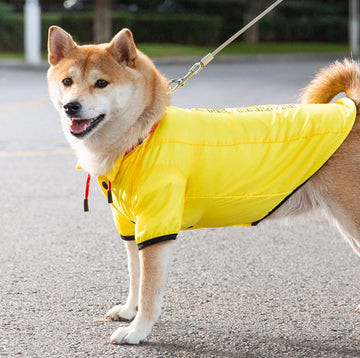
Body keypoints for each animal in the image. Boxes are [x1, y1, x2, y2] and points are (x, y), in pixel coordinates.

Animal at [49, 25, 360, 344]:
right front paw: (128, 310)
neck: (142, 137)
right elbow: (136, 278)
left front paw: (137, 330)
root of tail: (353, 108)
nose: (71, 106)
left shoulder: (157, 226)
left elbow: (149, 290)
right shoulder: (133, 227)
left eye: (101, 83)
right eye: (67, 81)